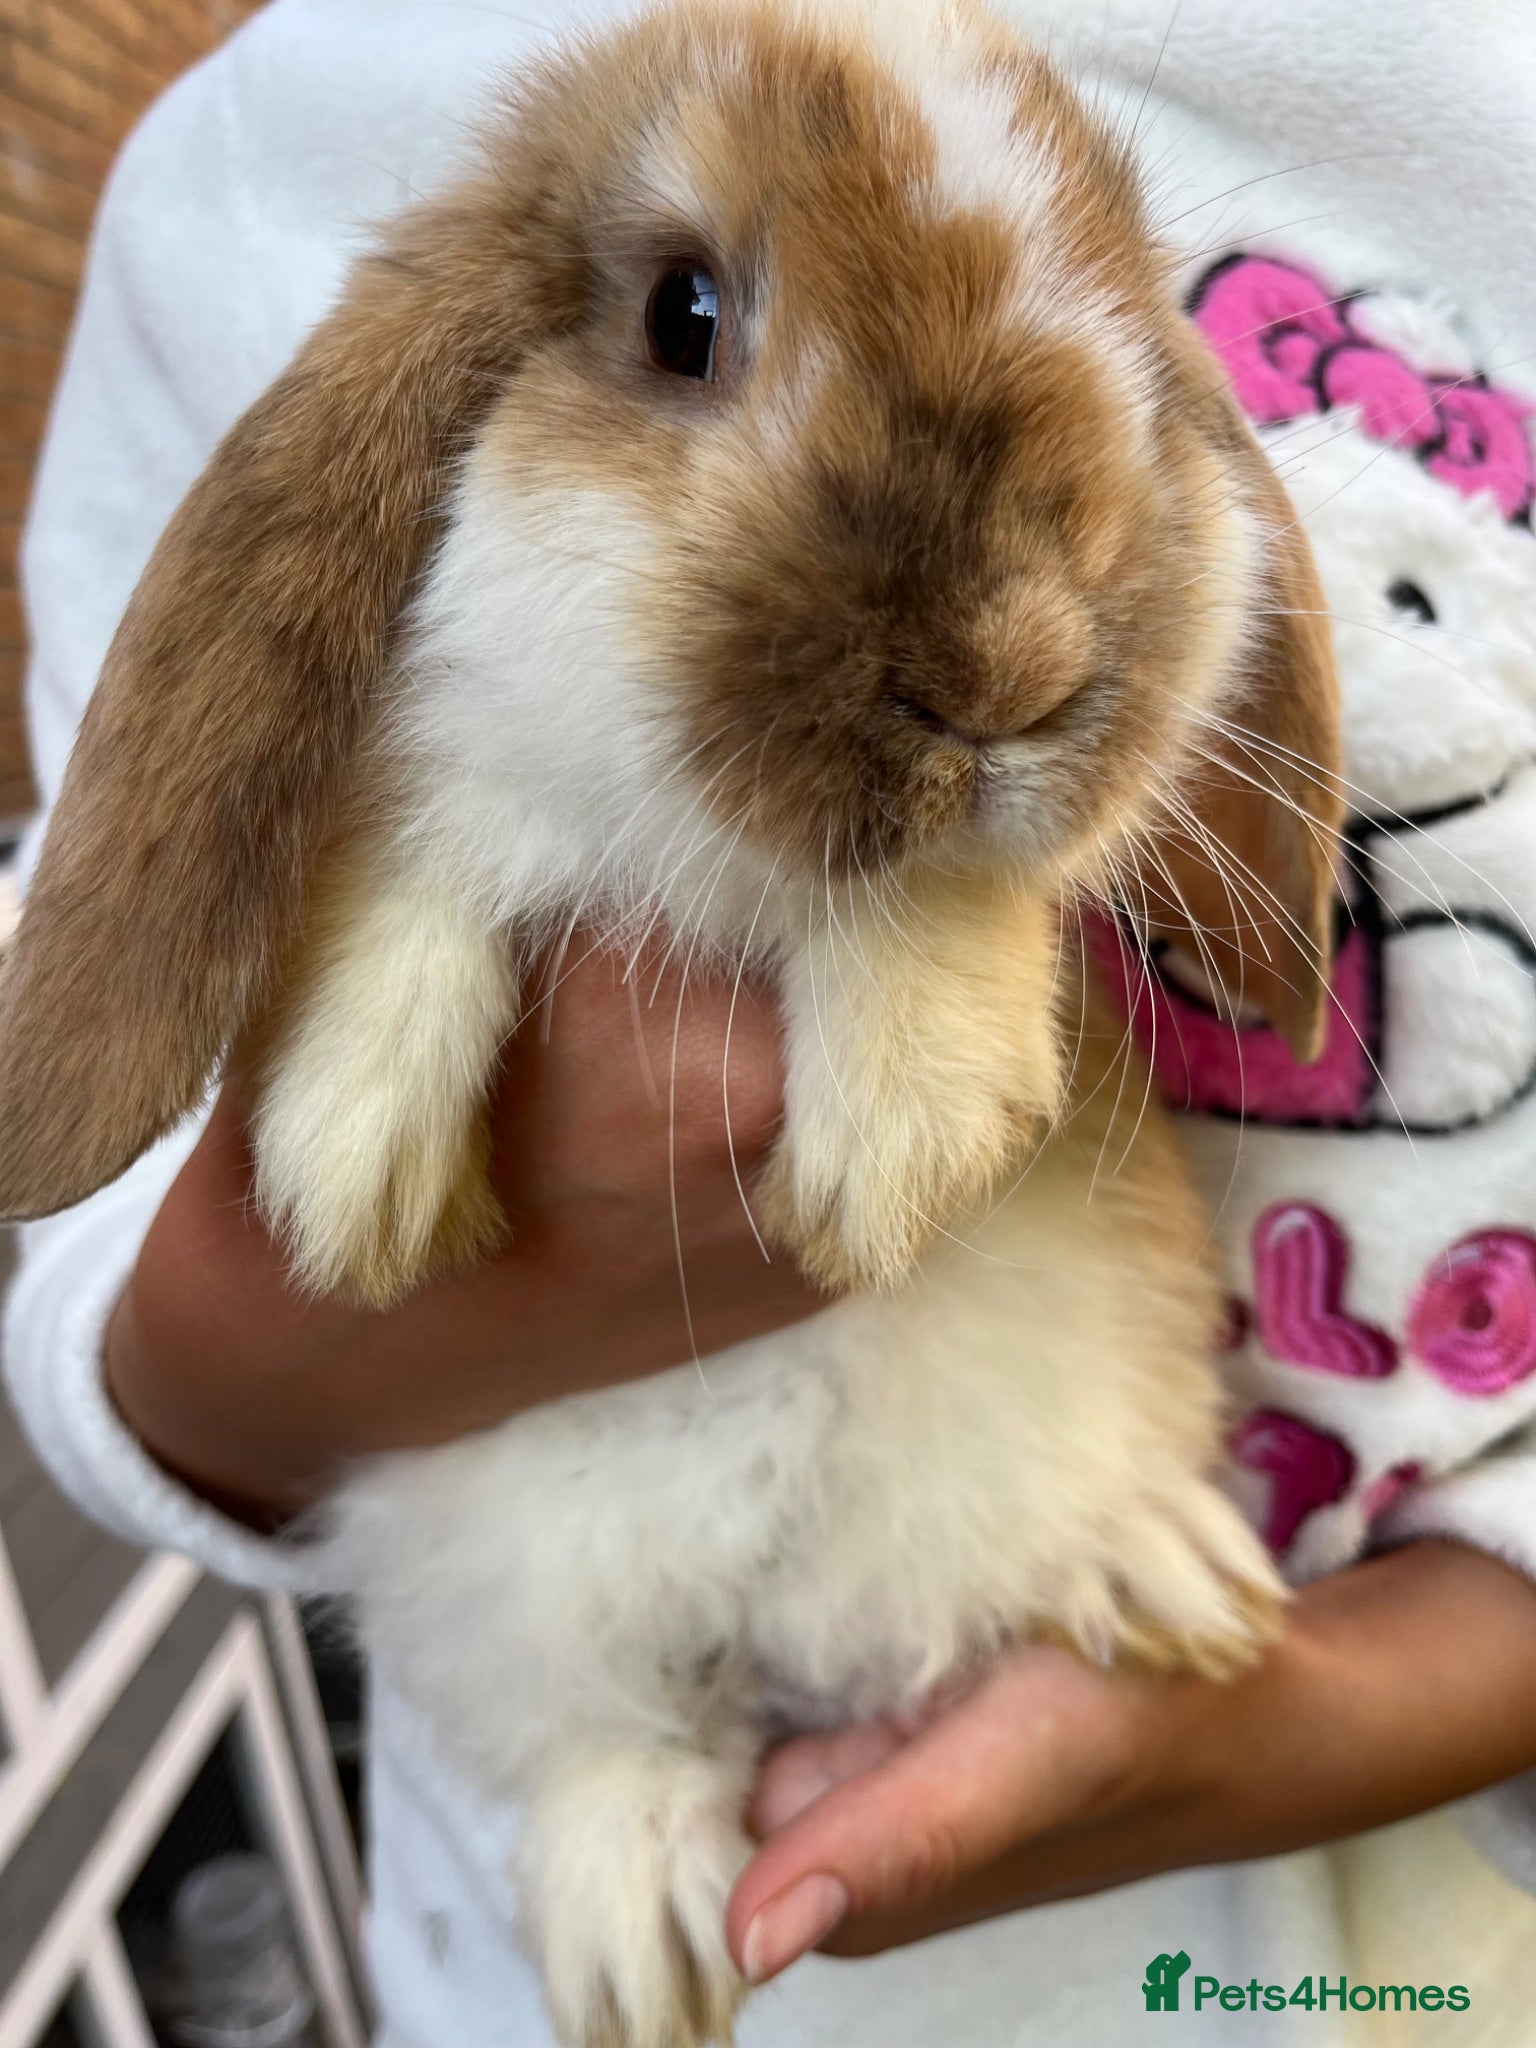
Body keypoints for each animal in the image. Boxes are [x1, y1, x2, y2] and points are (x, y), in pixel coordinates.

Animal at [0, 4, 1345, 2044]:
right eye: (683, 314)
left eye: (1132, 320)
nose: (1017, 668)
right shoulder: (450, 765)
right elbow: (419, 838)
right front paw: (354, 1179)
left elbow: (944, 898)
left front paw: (908, 1139)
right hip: (513, 1593)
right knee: (606, 1737)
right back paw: (639, 1930)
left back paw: (1157, 1568)